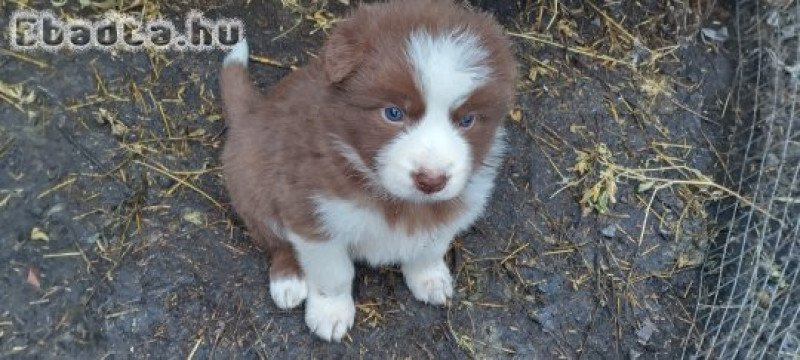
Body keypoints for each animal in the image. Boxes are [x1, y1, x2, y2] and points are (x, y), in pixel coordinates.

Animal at [220, 0, 520, 340]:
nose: (431, 181)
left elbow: (430, 247)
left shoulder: (453, 207)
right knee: (275, 242)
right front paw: (331, 312)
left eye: (467, 120)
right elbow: (334, 273)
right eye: (393, 113)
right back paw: (288, 281)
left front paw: (429, 277)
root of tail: (251, 112)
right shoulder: (312, 215)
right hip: (253, 187)